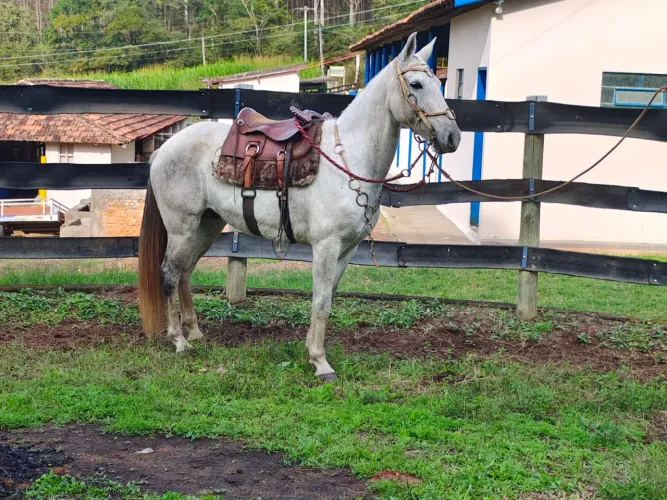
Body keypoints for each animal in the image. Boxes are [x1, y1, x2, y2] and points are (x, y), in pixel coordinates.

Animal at [137, 31, 461, 381]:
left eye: (439, 85)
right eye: (416, 84)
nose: (452, 137)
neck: (348, 159)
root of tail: (164, 148)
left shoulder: (347, 249)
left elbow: (328, 298)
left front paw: (311, 349)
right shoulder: (326, 246)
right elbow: (320, 302)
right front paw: (320, 362)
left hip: (207, 225)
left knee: (185, 271)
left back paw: (195, 332)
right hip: (181, 227)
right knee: (170, 272)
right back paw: (179, 340)